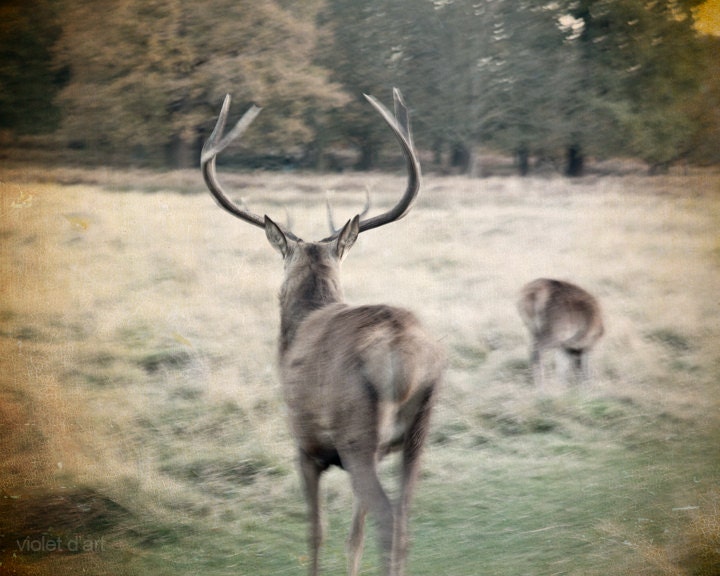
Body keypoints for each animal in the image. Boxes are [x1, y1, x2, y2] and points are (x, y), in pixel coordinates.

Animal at [201, 89, 444, 576]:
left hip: (356, 432)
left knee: (389, 518)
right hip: (417, 429)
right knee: (405, 519)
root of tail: (404, 356)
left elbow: (315, 533)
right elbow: (352, 538)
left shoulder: (304, 442)